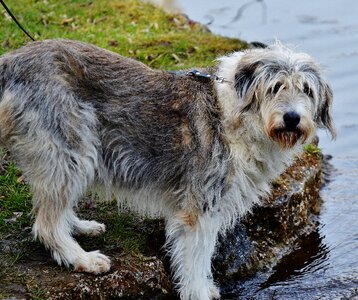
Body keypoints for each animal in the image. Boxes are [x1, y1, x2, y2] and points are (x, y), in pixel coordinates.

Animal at [0, 40, 336, 300]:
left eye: (306, 90)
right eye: (275, 87)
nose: (292, 118)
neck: (238, 118)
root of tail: (11, 62)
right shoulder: (199, 210)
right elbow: (197, 259)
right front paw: (199, 293)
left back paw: (79, 226)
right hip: (71, 150)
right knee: (46, 223)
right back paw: (81, 258)